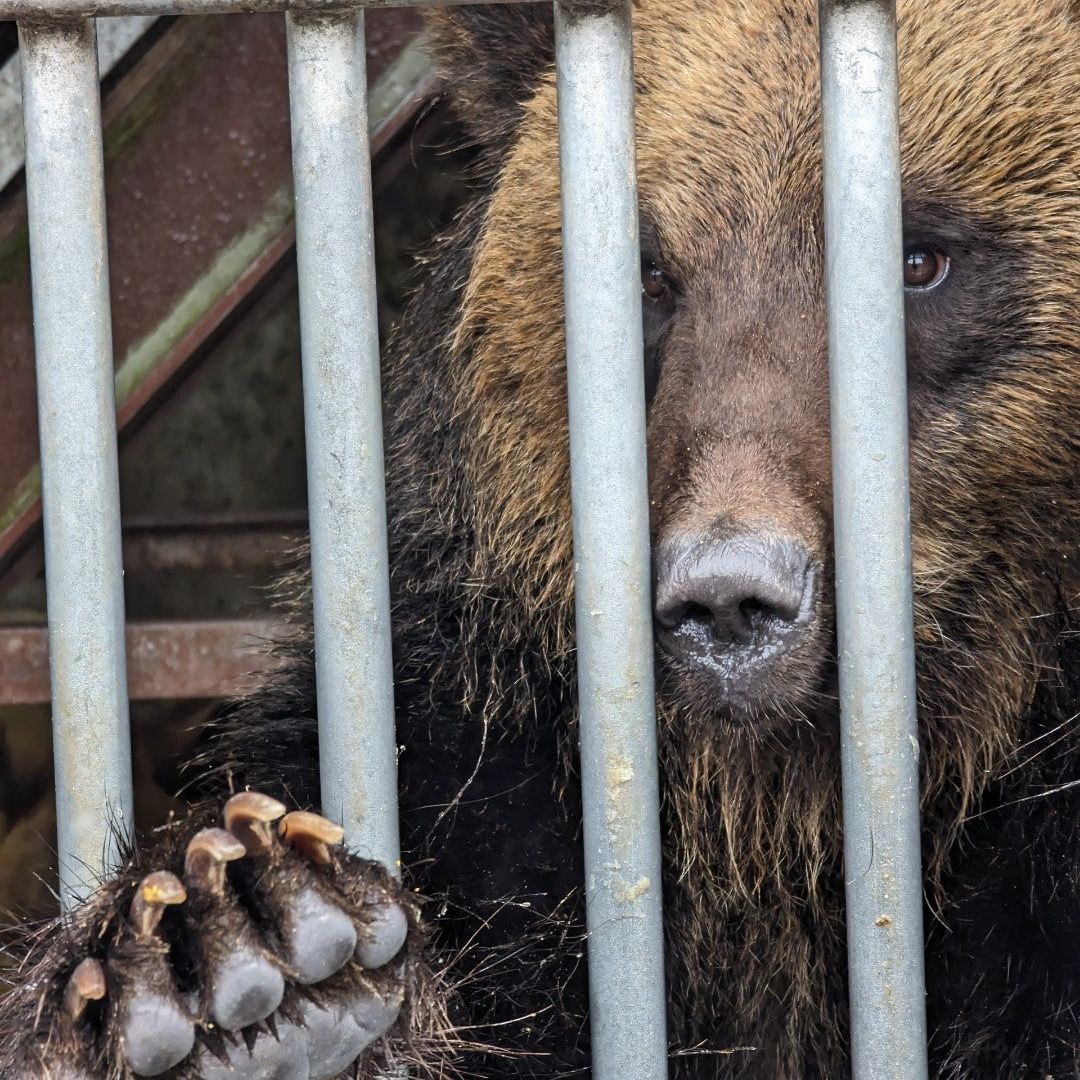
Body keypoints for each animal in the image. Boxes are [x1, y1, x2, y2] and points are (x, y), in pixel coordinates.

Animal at [2, 0, 1080, 1075]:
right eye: (649, 274)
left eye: (921, 258)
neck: (773, 814)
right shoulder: (484, 769)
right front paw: (229, 953)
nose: (731, 595)